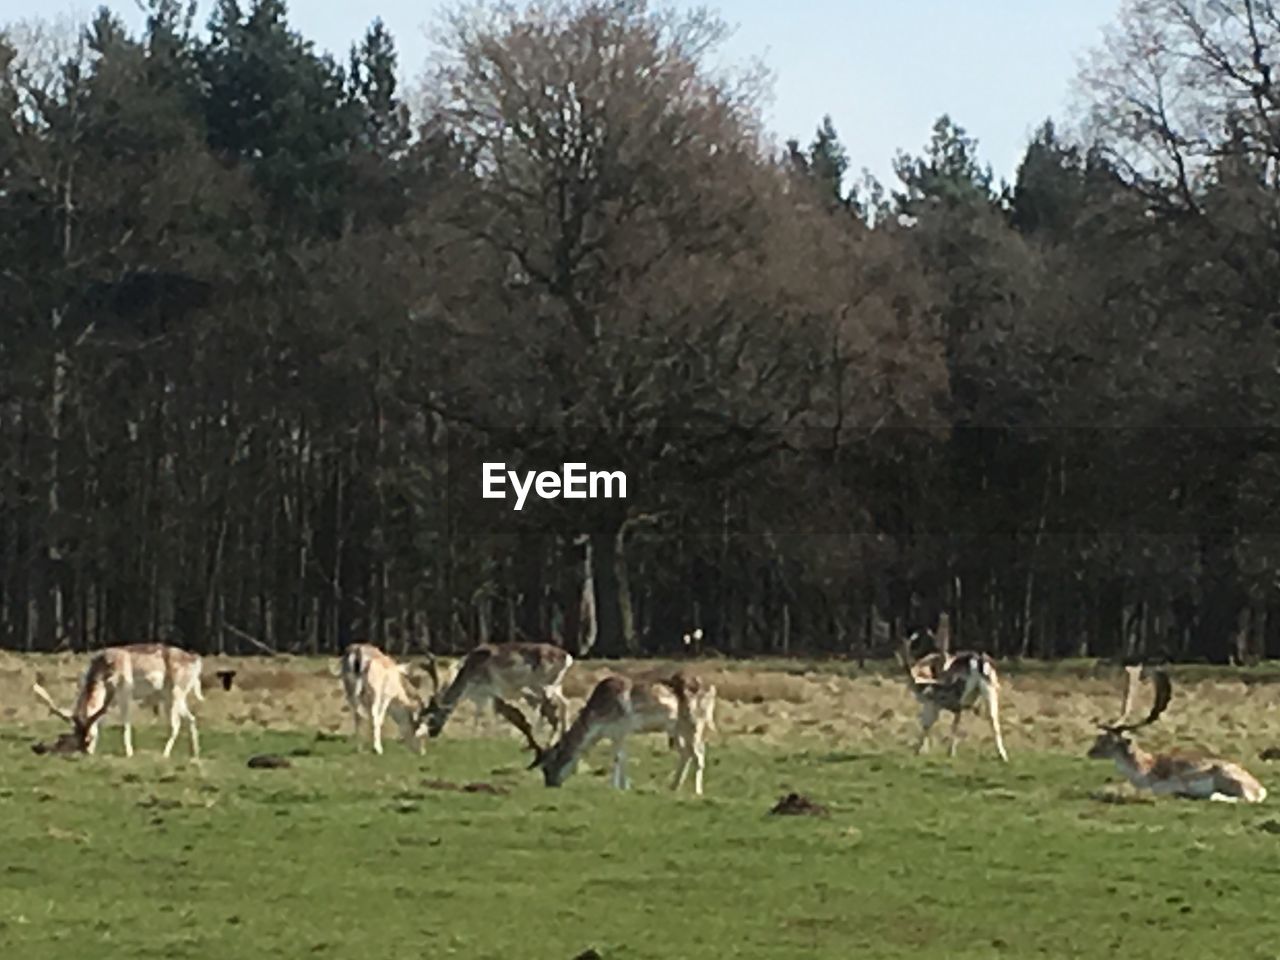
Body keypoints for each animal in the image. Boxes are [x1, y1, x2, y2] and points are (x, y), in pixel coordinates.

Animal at [31, 647, 204, 757]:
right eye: (77, 739)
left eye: (89, 739)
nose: (87, 753)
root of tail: (196, 661)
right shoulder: (109, 701)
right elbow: (99, 720)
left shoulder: (124, 693)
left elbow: (125, 725)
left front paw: (129, 753)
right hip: (175, 697)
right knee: (191, 718)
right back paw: (194, 753)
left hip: (175, 694)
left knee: (176, 725)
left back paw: (165, 754)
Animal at [419, 642, 576, 757]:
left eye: (432, 717)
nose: (432, 733)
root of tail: (568, 657)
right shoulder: (485, 695)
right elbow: (484, 715)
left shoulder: (493, 690)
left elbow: (509, 715)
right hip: (555, 686)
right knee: (563, 704)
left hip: (543, 685)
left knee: (549, 708)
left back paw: (544, 743)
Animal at [522, 670, 721, 798]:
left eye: (547, 767)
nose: (551, 785)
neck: (597, 721)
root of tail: (712, 688)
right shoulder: (616, 733)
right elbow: (623, 756)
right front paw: (625, 786)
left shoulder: (621, 728)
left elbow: (618, 757)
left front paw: (616, 787)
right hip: (677, 729)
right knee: (686, 753)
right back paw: (673, 786)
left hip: (695, 723)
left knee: (699, 754)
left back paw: (697, 791)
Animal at [896, 616, 1003, 768]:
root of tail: (980, 664)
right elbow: (954, 722)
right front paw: (947, 751)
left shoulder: (933, 702)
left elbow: (927, 724)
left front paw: (919, 750)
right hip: (990, 689)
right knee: (993, 718)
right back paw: (1003, 756)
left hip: (963, 691)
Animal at [1085, 660, 1264, 803]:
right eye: (1099, 737)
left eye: (1109, 740)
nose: (1090, 752)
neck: (1144, 771)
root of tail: (1261, 790)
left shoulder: (1164, 785)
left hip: (1226, 777)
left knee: (1241, 798)